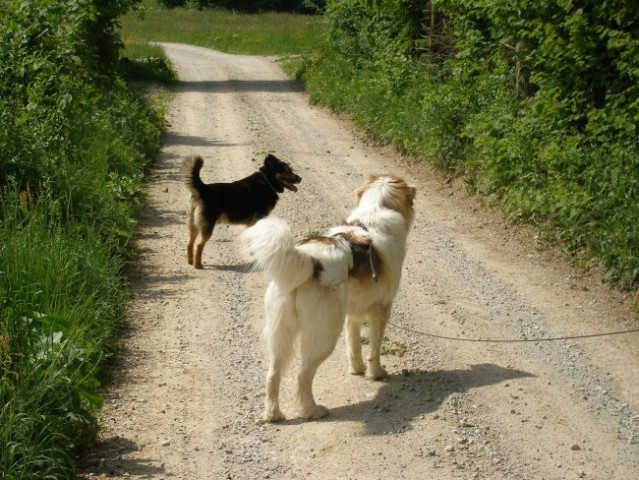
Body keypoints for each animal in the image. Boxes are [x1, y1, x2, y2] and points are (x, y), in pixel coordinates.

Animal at [240, 174, 416, 422]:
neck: (375, 211)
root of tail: (309, 261)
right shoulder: (382, 309)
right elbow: (374, 348)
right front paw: (376, 373)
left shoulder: (353, 313)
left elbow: (353, 344)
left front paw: (357, 369)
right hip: (325, 334)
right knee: (302, 375)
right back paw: (312, 411)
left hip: (281, 333)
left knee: (272, 374)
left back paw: (273, 414)